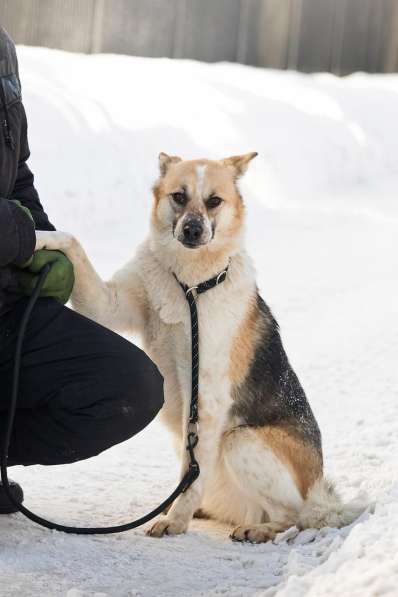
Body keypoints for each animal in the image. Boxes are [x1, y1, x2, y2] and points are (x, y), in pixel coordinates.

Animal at [38, 152, 362, 540]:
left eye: (214, 201)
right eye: (179, 196)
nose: (192, 230)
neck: (189, 284)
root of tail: (316, 492)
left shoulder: (206, 397)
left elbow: (190, 476)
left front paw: (176, 520)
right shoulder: (109, 305)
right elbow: (71, 241)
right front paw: (38, 236)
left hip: (239, 442)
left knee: (291, 515)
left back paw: (259, 529)